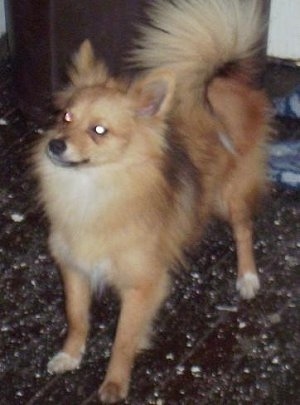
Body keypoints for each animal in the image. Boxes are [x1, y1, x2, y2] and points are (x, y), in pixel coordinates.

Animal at [34, 0, 270, 400]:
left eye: (99, 131)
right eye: (66, 117)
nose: (55, 144)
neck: (92, 191)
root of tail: (221, 80)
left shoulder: (142, 286)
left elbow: (124, 340)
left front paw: (115, 382)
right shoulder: (74, 269)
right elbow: (77, 318)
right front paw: (70, 355)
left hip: (231, 195)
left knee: (243, 229)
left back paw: (248, 277)